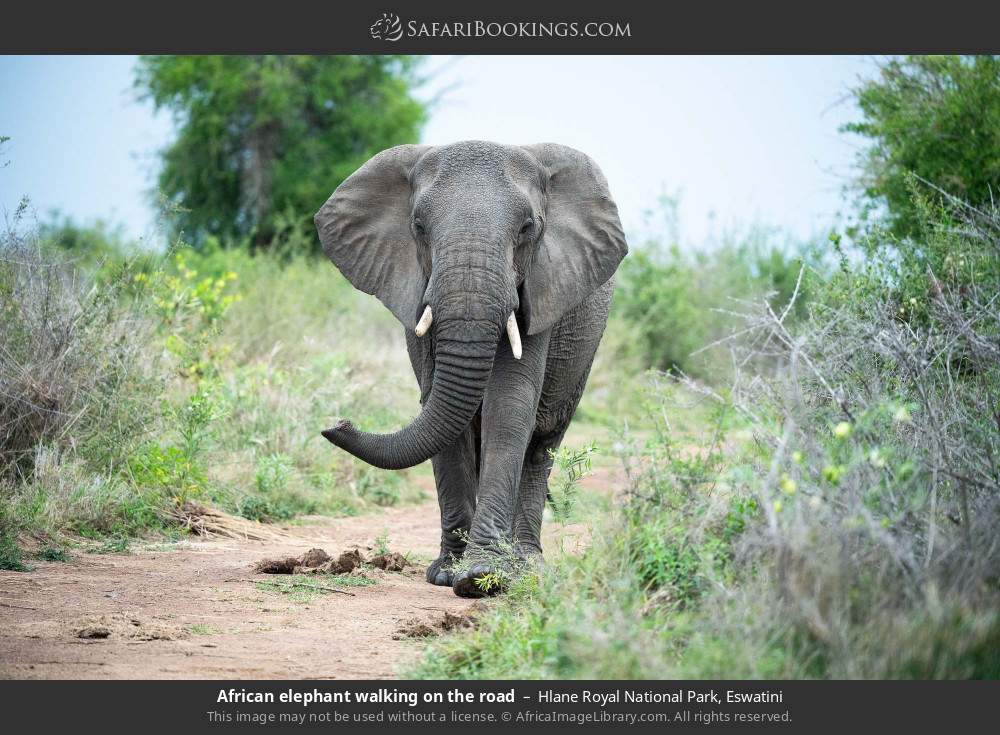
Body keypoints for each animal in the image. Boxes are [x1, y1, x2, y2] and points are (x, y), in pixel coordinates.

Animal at [315, 141, 627, 597]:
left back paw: (527, 565)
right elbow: (440, 407)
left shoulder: (539, 288)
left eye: (527, 229)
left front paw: (483, 577)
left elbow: (510, 406)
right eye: (419, 227)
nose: (337, 422)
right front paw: (449, 574)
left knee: (543, 443)